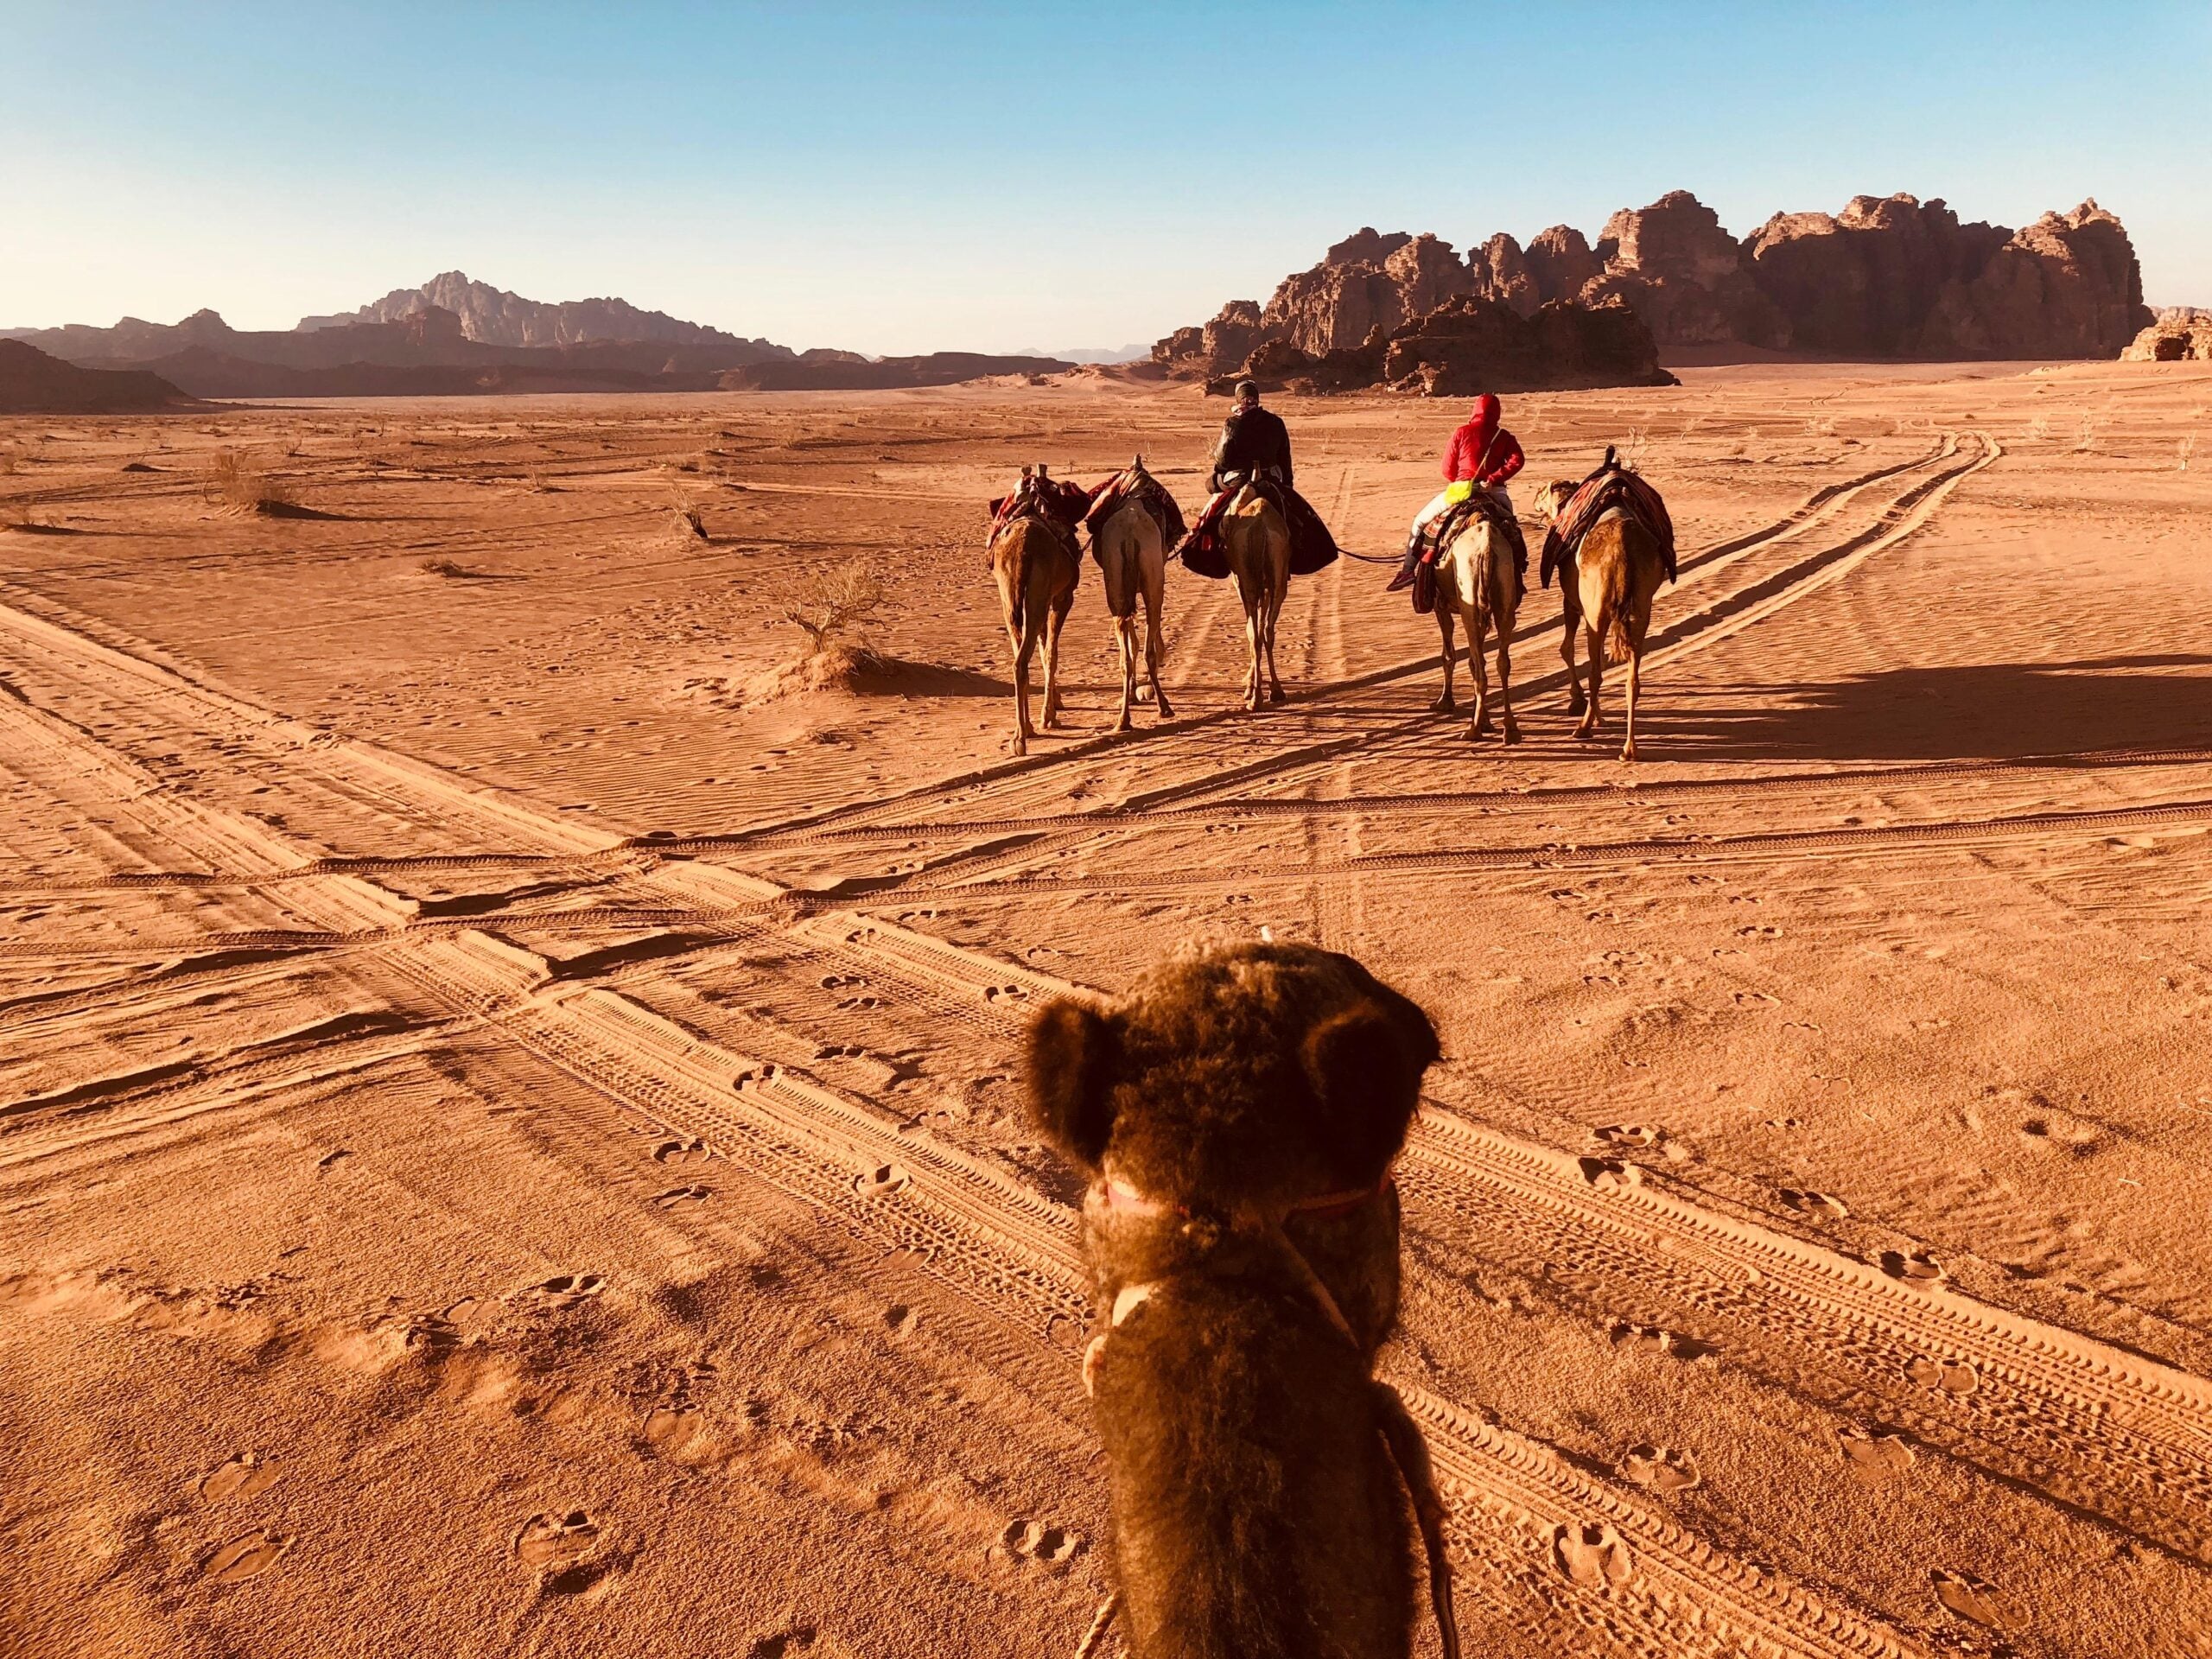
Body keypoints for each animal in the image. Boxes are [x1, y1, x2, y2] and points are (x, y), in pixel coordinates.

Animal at [988, 468, 1079, 757]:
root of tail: (1023, 547)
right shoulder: (1062, 597)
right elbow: (1051, 652)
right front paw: (1049, 715)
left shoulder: (1041, 599)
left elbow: (1042, 647)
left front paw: (1052, 706)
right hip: (1037, 597)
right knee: (1022, 659)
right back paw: (1023, 735)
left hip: (1010, 597)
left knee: (1020, 656)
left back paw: (1023, 730)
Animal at [1091, 458, 1176, 731]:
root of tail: (1129, 535)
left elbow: (1132, 643)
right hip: (1153, 579)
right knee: (1148, 643)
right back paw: (1163, 706)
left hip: (1115, 584)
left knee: (1125, 653)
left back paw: (1123, 719)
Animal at [1221, 484, 1290, 710]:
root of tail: (1260, 528)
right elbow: (1258, 627)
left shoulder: (1241, 583)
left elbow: (1251, 630)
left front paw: (1249, 686)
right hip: (1274, 580)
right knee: (1266, 631)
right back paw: (1273, 691)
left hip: (1251, 582)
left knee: (1258, 634)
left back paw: (1259, 696)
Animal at [1428, 508, 1521, 744]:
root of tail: (1486, 546)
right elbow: (1474, 659)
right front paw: (1488, 720)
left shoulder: (1441, 605)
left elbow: (1449, 655)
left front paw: (1445, 701)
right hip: (1503, 595)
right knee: (1502, 662)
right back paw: (1510, 729)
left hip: (1468, 594)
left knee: (1480, 670)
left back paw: (1474, 729)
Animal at [1538, 479, 1667, 761]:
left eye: (1544, 491)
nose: (1535, 498)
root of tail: (1622, 547)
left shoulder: (1573, 603)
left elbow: (1567, 649)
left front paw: (1581, 706)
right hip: (1641, 609)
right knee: (1632, 679)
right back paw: (1629, 749)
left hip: (1596, 611)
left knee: (1595, 672)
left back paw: (1583, 728)